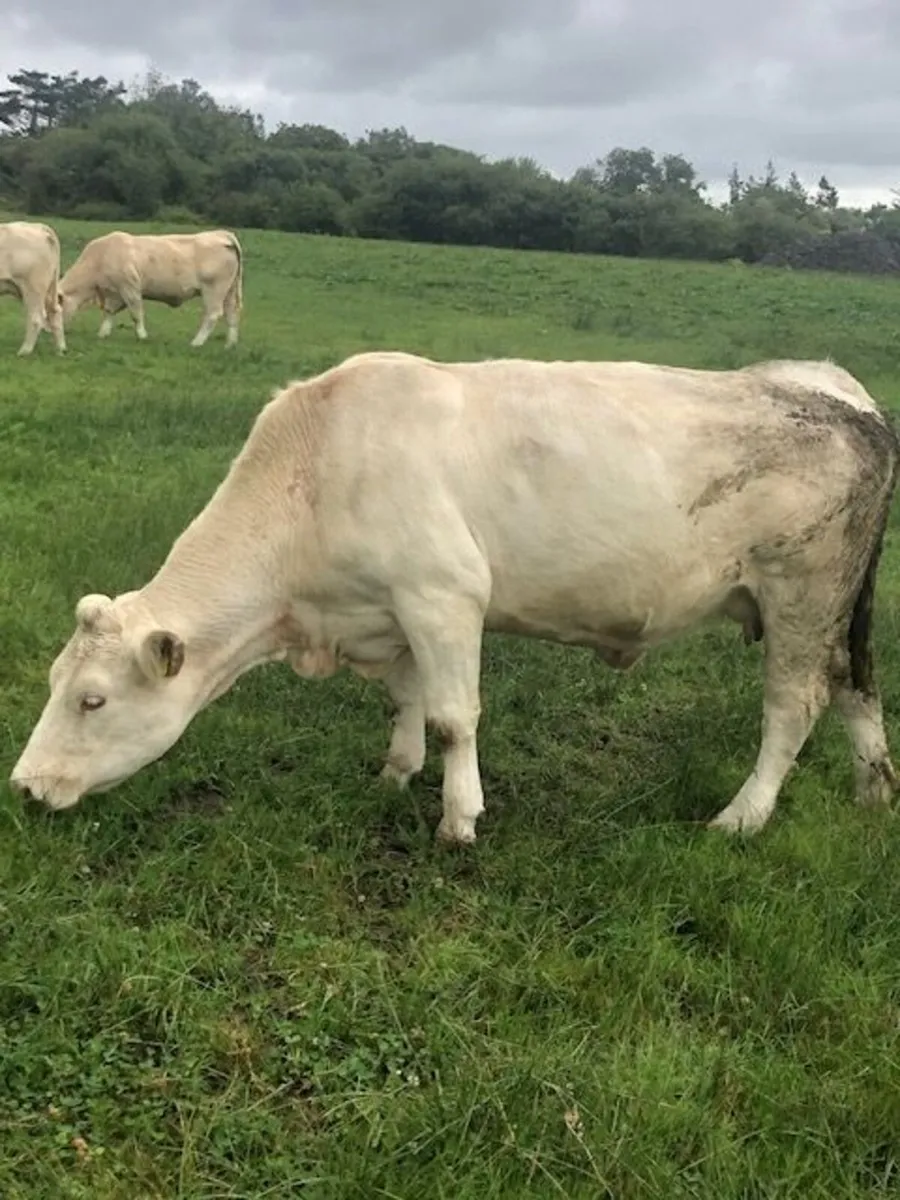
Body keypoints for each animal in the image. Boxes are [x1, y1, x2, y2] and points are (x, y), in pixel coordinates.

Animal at [0, 220, 66, 356]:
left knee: (36, 318)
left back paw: (24, 351)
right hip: (47, 288)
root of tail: (37, 226)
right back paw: (61, 349)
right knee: (55, 311)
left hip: (33, 287)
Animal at [9, 351, 900, 845]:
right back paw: (873, 793)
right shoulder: (391, 609)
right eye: (58, 686)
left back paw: (741, 819)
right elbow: (407, 701)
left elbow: (452, 716)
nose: (21, 785)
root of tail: (846, 401)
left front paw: (458, 816)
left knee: (793, 707)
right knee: (856, 686)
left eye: (92, 700)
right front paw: (395, 773)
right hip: (839, 607)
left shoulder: (444, 596)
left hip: (801, 595)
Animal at [57, 229, 243, 347]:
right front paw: (103, 334)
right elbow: (109, 312)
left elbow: (136, 313)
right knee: (232, 314)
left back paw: (196, 343)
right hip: (229, 291)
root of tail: (221, 234)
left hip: (214, 290)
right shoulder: (114, 293)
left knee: (213, 314)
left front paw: (142, 336)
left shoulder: (129, 288)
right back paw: (230, 344)